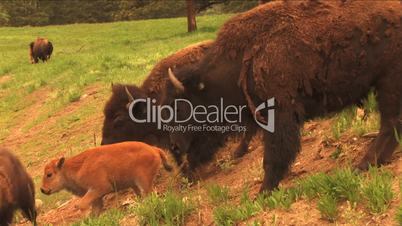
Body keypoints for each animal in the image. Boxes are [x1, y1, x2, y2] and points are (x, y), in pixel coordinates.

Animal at [40, 142, 171, 215]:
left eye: (49, 174)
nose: (43, 189)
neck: (76, 167)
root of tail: (154, 149)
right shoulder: (96, 197)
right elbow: (95, 210)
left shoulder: (99, 189)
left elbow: (81, 205)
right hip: (135, 185)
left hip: (144, 181)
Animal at [163, 0, 402, 193]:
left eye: (182, 107)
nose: (174, 145)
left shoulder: (279, 113)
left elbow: (273, 155)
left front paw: (264, 191)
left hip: (389, 82)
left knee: (390, 124)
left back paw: (362, 165)